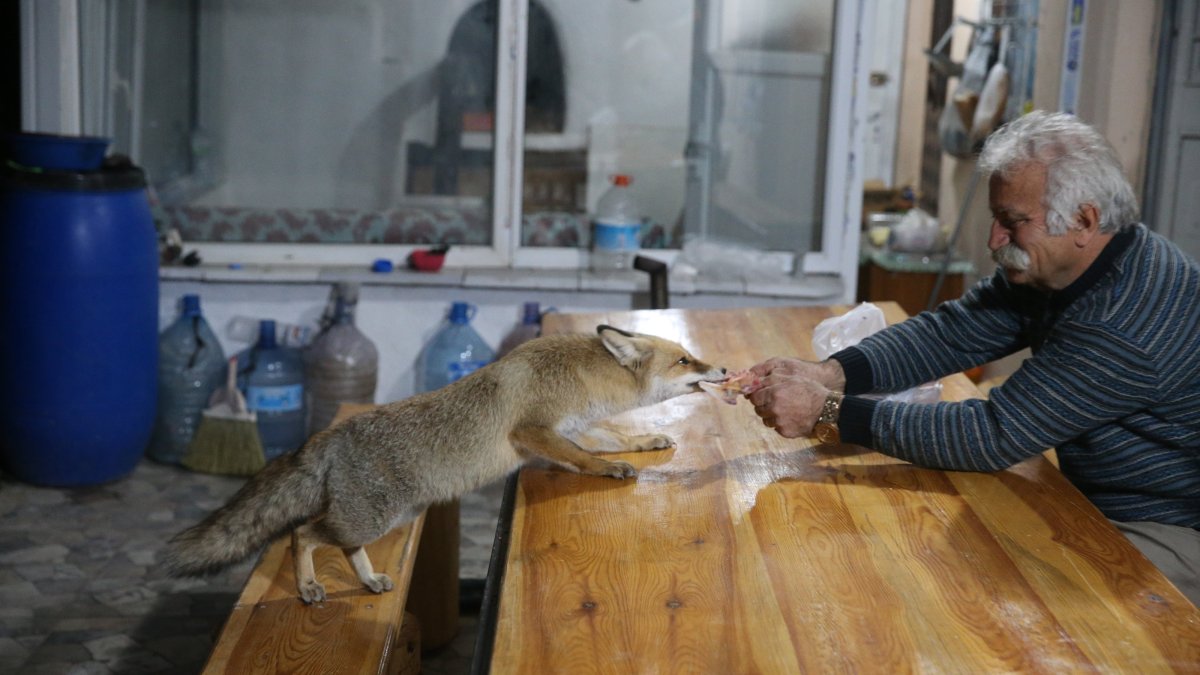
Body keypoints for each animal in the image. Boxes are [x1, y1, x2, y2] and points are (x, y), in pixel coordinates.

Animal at [163, 324, 727, 603]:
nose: (722, 368)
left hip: (389, 517)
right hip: (373, 517)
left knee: (340, 545)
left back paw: (367, 581)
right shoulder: (534, 431)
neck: (584, 378)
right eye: (684, 361)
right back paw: (306, 588)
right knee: (300, 534)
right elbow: (586, 460)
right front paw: (612, 472)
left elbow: (611, 440)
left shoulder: (569, 428)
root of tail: (328, 435)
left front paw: (650, 439)